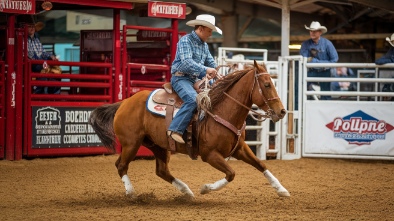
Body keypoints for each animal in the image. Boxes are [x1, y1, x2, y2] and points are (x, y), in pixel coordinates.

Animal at [91, 60, 290, 199]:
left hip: (158, 145)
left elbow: (261, 165)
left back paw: (186, 192)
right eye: (267, 84)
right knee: (121, 165)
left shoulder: (240, 149)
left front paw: (282, 189)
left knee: (161, 171)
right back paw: (131, 193)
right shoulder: (210, 155)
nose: (282, 111)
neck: (221, 110)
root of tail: (124, 102)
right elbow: (231, 173)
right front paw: (206, 188)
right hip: (131, 144)